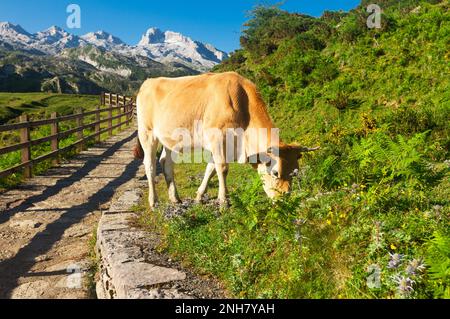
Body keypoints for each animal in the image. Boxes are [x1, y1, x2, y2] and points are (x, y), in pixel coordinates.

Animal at [134, 71, 320, 209]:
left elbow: (211, 169)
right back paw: (154, 201)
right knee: (150, 164)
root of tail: (148, 82)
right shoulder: (218, 137)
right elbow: (222, 168)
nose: (284, 200)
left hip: (170, 139)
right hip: (147, 133)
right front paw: (224, 201)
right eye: (275, 173)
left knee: (166, 163)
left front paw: (199, 196)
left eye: (295, 172)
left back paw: (175, 198)